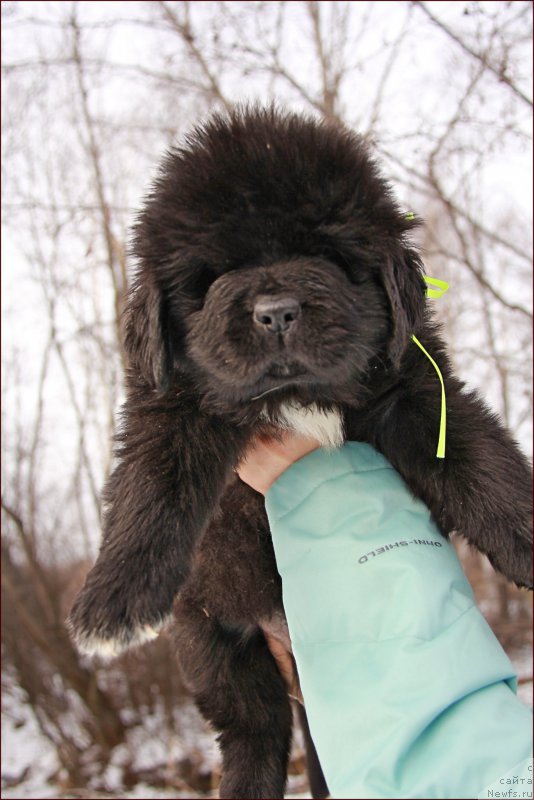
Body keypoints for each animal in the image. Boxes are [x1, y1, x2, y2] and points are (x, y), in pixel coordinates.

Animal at [69, 108, 532, 800]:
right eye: (211, 276)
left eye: (328, 257)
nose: (276, 311)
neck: (295, 398)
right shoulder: (172, 405)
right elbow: (153, 485)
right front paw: (112, 604)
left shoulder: (415, 390)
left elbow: (484, 463)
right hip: (213, 637)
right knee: (252, 731)